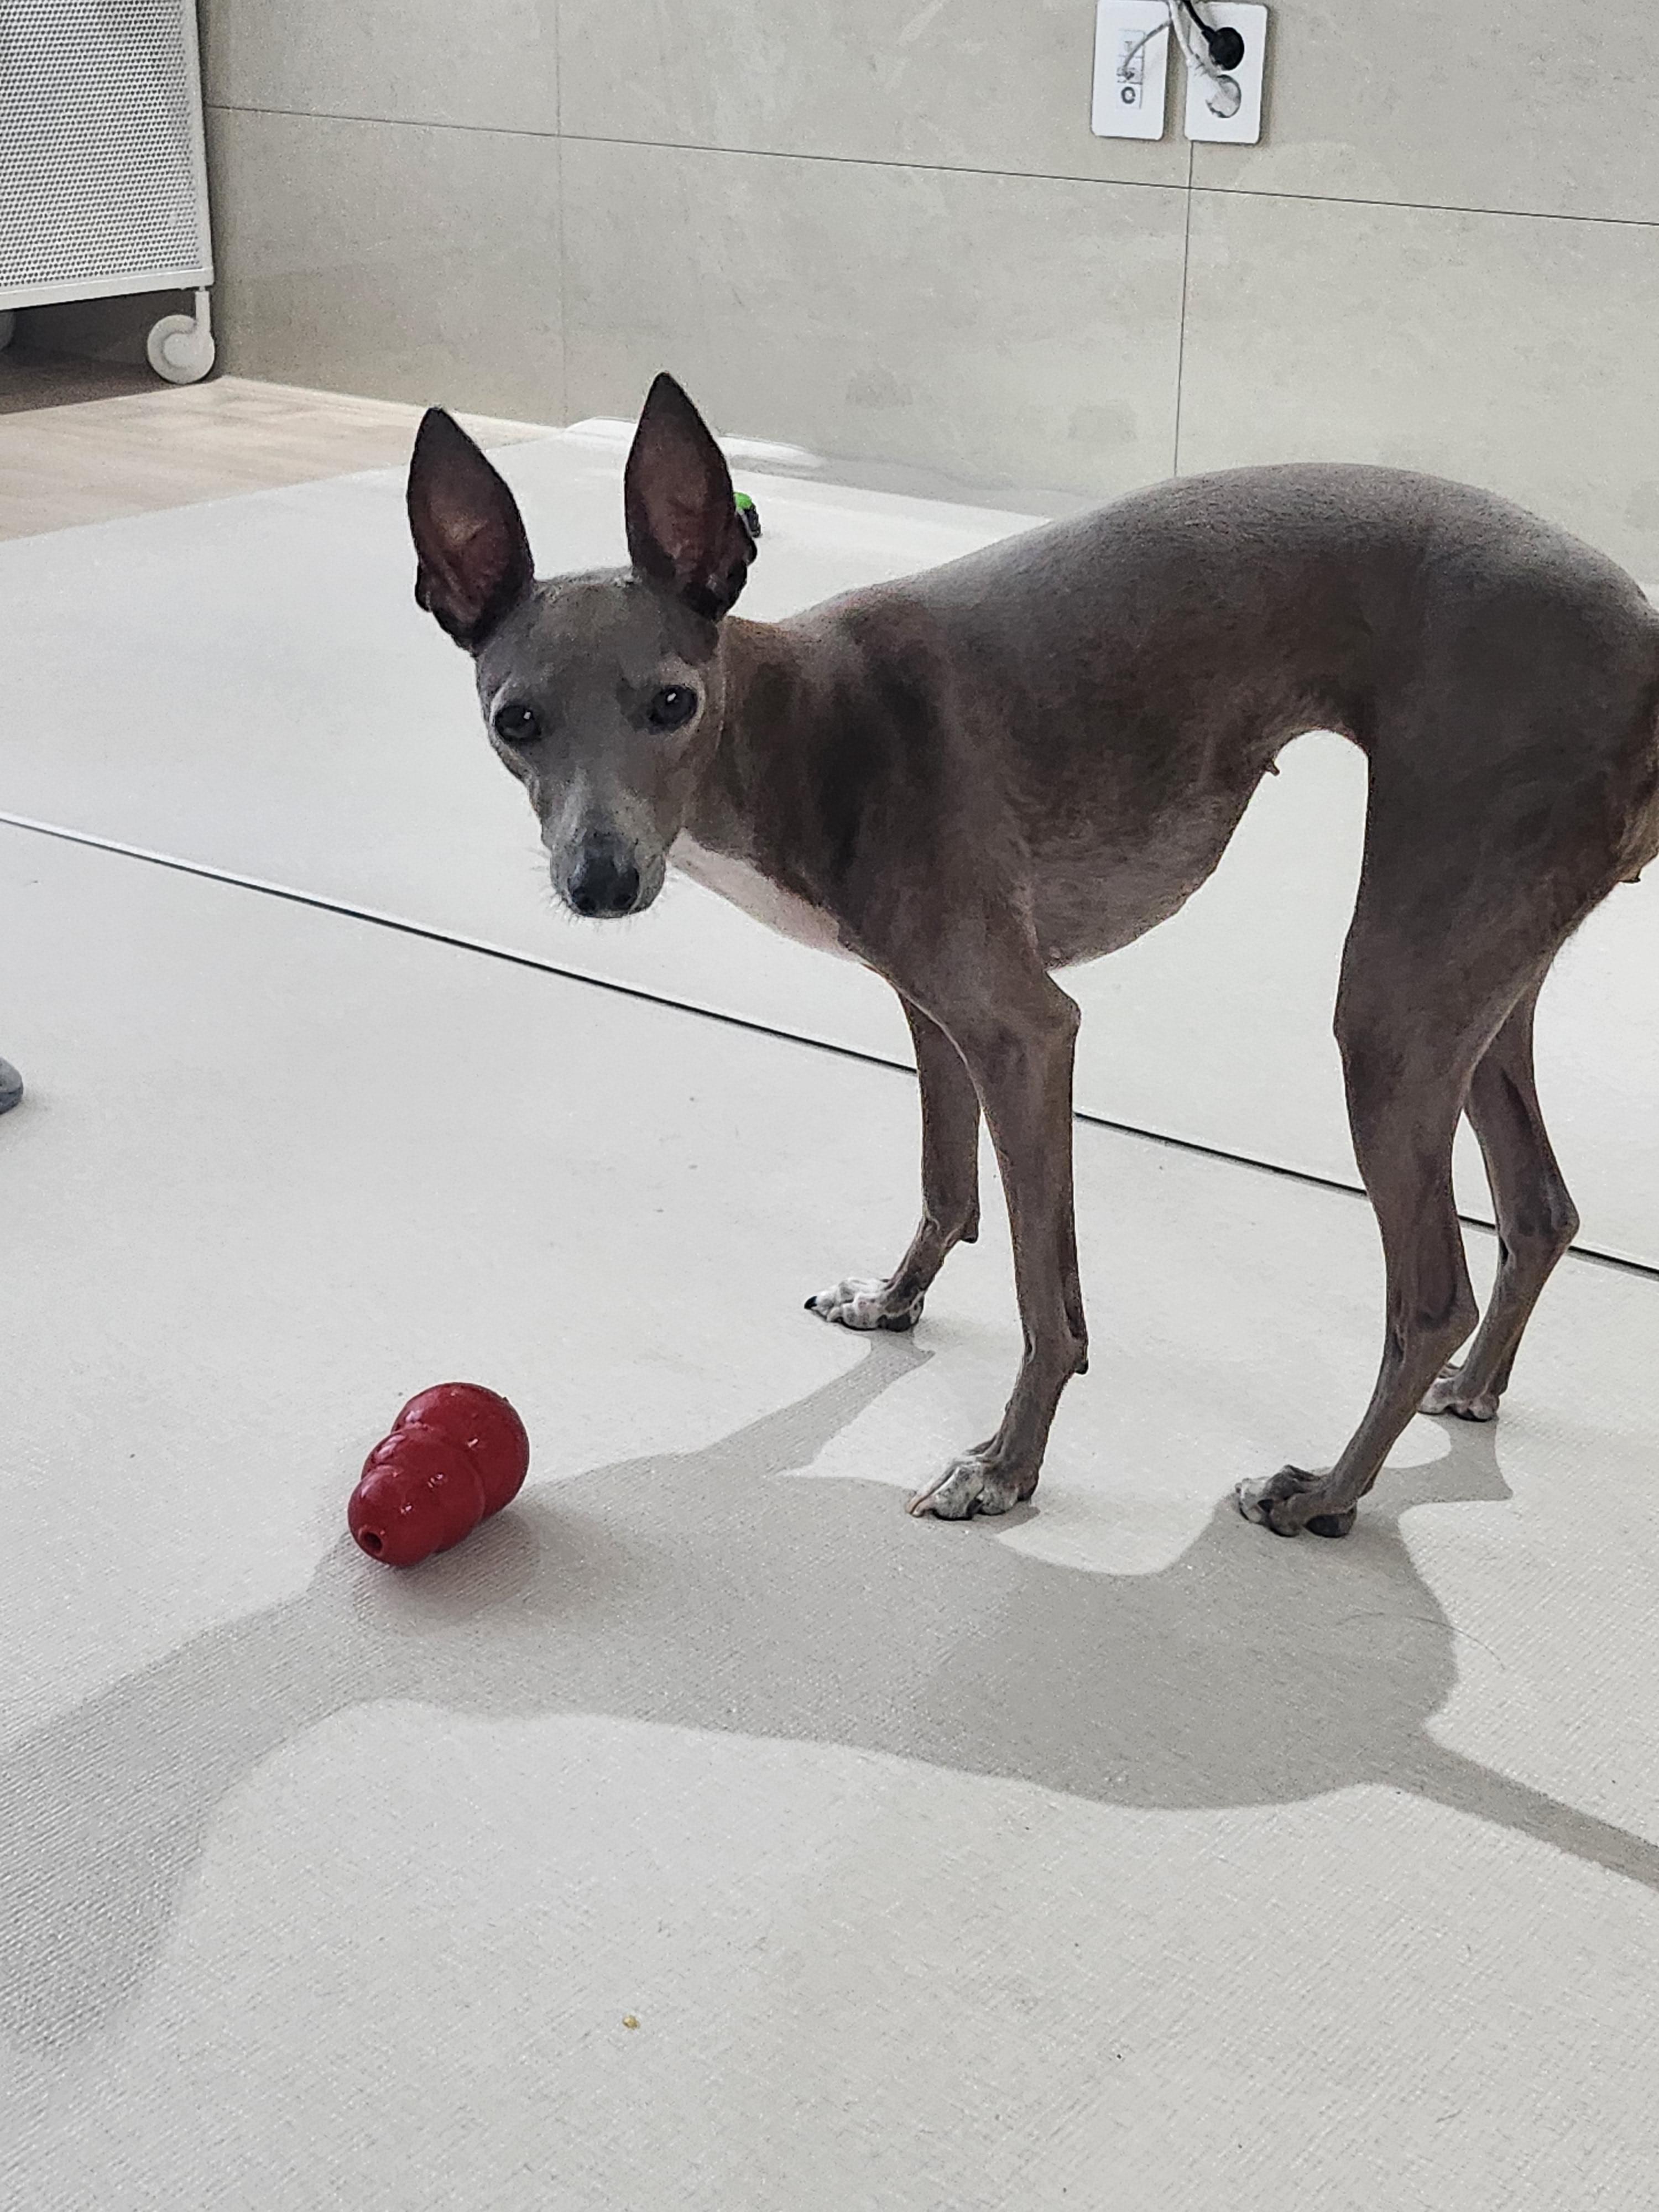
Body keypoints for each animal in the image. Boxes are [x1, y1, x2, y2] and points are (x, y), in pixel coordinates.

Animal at [406, 374, 1659, 1538]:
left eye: (672, 703)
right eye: (515, 722)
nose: (600, 884)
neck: (806, 728)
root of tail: (1644, 635)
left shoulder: (1026, 1031)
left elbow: (1042, 1293)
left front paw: (1007, 1467)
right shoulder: (934, 1009)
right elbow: (947, 1187)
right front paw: (894, 1301)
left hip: (1392, 1008)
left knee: (1432, 1294)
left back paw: (1327, 1493)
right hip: (1478, 982)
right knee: (1541, 1208)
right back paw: (1474, 1389)